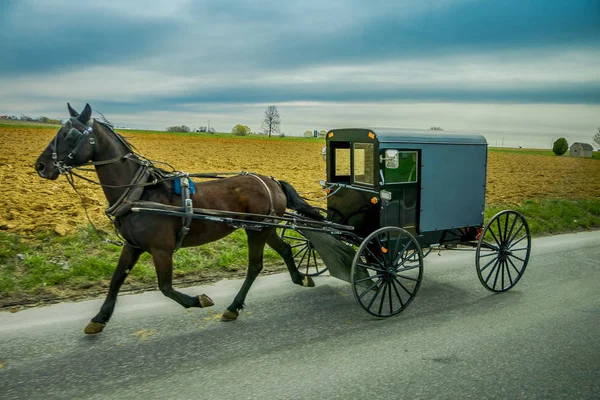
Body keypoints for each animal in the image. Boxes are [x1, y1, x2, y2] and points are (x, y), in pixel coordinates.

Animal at [34, 104, 324, 334]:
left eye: (69, 134)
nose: (40, 166)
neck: (140, 192)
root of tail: (271, 181)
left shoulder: (161, 249)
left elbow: (165, 287)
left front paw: (198, 300)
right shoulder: (132, 245)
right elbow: (116, 279)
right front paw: (100, 318)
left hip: (257, 230)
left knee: (255, 266)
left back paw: (233, 306)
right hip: (265, 228)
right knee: (285, 249)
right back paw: (300, 278)